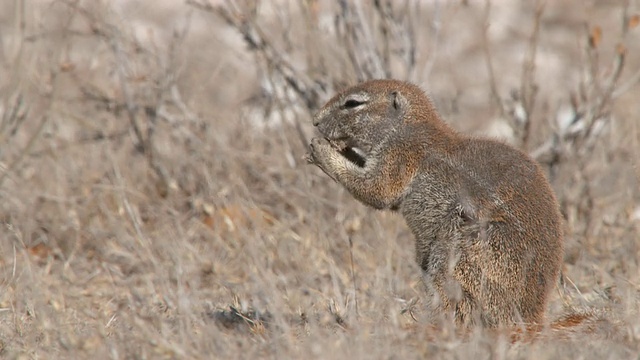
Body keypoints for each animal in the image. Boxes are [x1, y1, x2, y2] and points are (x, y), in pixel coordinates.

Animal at [308, 80, 564, 328]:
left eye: (352, 103)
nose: (315, 120)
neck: (408, 126)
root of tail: (532, 314)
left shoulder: (399, 154)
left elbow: (376, 188)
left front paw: (320, 148)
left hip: (462, 249)